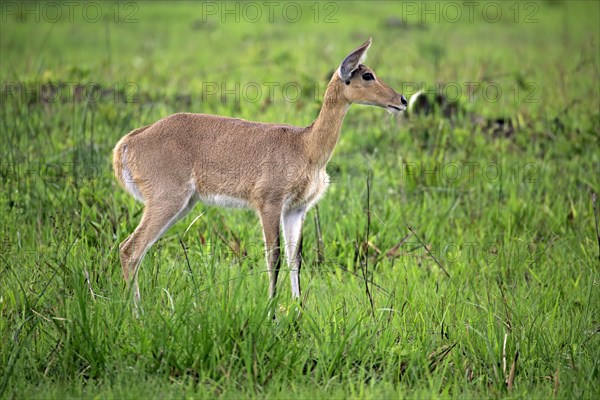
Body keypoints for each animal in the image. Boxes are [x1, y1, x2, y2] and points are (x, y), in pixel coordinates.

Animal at [113, 39, 408, 304]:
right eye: (367, 75)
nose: (402, 100)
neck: (306, 145)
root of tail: (129, 141)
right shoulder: (269, 205)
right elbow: (273, 257)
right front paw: (271, 311)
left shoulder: (296, 210)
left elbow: (294, 258)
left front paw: (298, 311)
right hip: (167, 201)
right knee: (130, 249)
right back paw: (137, 314)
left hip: (183, 205)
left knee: (136, 250)